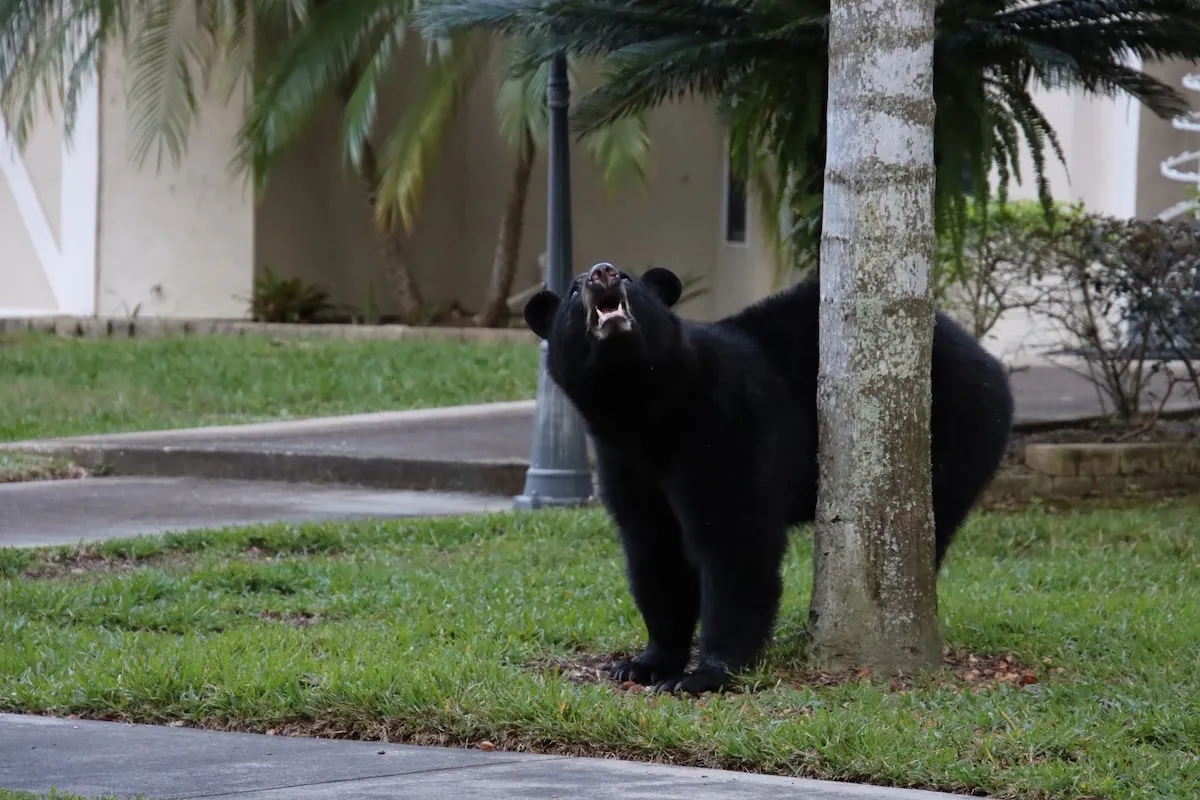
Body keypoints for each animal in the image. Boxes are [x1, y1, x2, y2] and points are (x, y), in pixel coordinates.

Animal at [523, 261, 1015, 695]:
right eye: (574, 290)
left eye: (626, 277)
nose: (602, 272)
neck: (644, 408)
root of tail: (987, 360)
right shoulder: (623, 462)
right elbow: (654, 549)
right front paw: (644, 663)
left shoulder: (724, 422)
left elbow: (734, 538)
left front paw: (705, 674)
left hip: (954, 428)